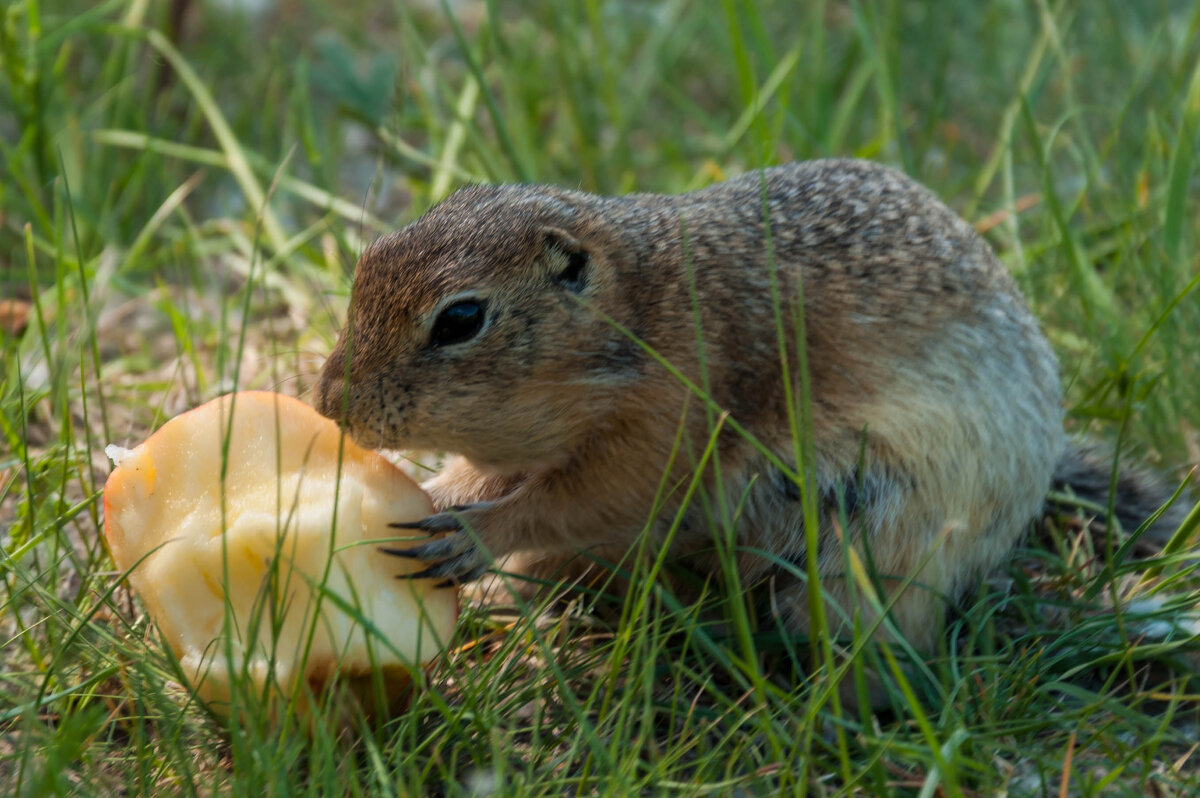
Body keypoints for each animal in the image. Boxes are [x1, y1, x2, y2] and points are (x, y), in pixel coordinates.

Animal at [314, 158, 1185, 652]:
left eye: (460, 319)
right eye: (368, 261)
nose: (329, 403)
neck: (644, 312)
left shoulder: (669, 421)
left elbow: (587, 500)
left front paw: (472, 532)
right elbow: (497, 477)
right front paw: (441, 490)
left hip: (875, 556)